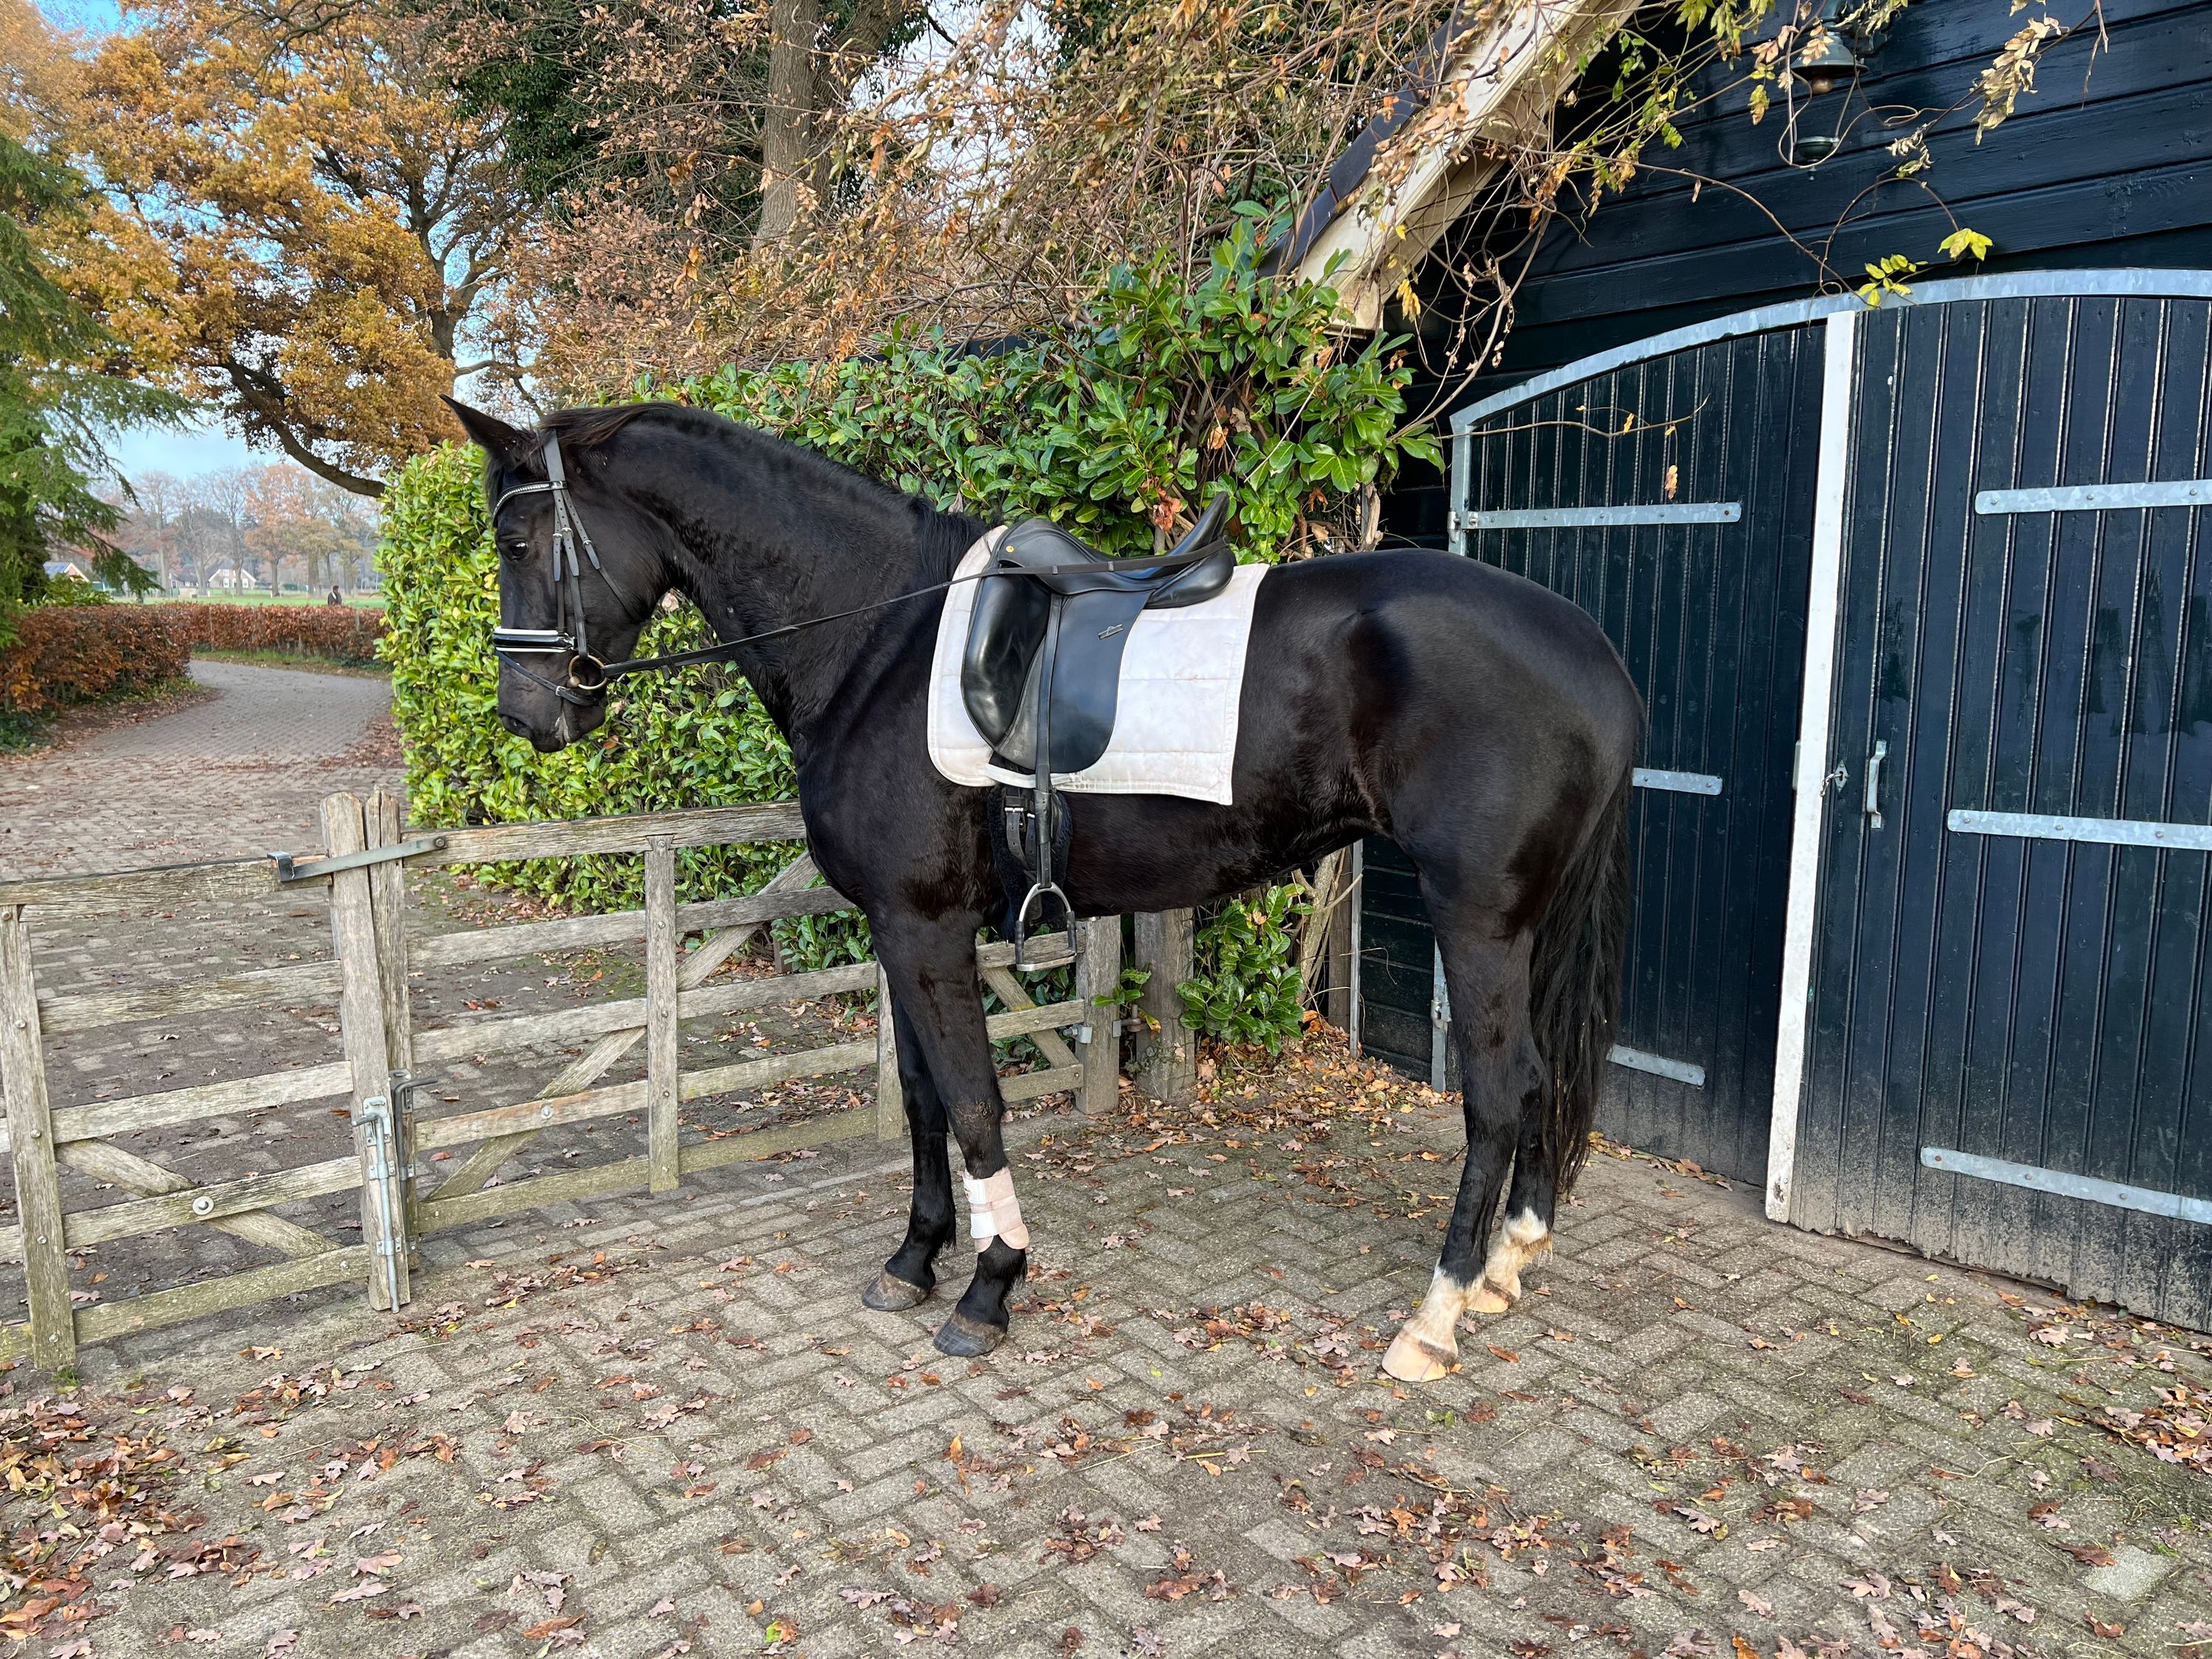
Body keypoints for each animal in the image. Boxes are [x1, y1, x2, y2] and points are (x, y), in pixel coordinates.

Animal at [442, 396, 1642, 1383]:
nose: (527, 715)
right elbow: (923, 1099)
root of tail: (1595, 653)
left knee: (1501, 1094)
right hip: (1524, 925)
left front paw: (989, 1285)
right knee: (1539, 1080)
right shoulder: (903, 931)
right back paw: (1509, 1261)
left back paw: (1433, 1318)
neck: (873, 631)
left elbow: (974, 1102)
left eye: (515, 539)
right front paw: (916, 1256)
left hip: (1478, 921)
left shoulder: (924, 928)